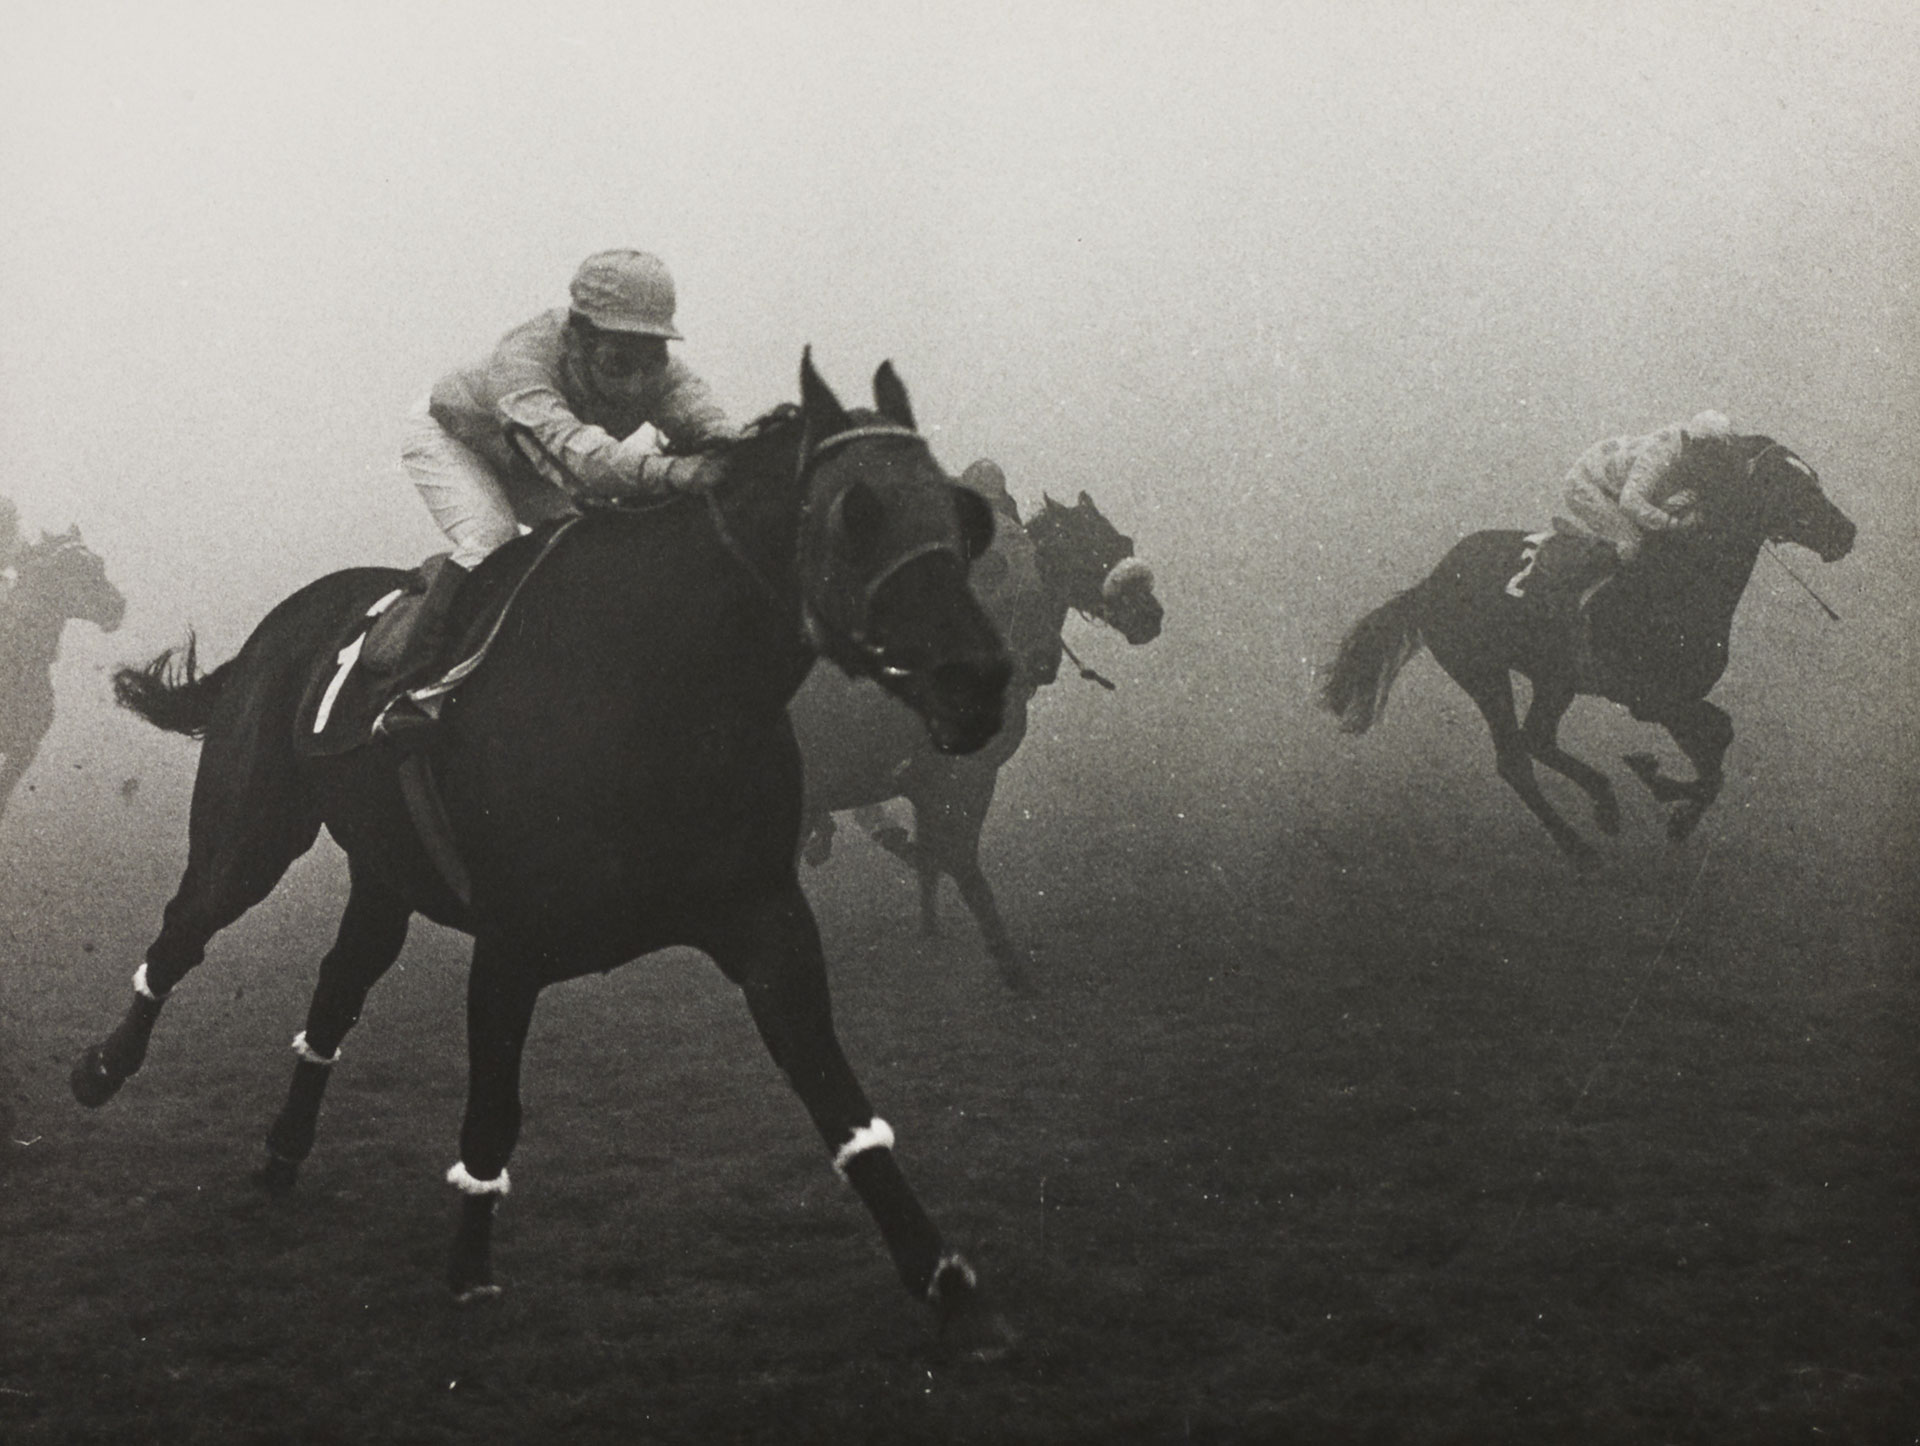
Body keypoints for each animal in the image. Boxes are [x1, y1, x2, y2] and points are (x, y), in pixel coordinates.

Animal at [1328, 437, 1850, 856]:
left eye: (1812, 476)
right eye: (1787, 483)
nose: (1847, 532)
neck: (1675, 585)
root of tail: (1430, 583)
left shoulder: (1672, 698)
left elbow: (1716, 744)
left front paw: (1672, 801)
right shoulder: (1649, 699)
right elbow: (1717, 734)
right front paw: (1658, 784)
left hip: (1554, 679)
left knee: (1537, 738)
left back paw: (1601, 804)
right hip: (1482, 672)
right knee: (1516, 757)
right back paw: (1580, 839)